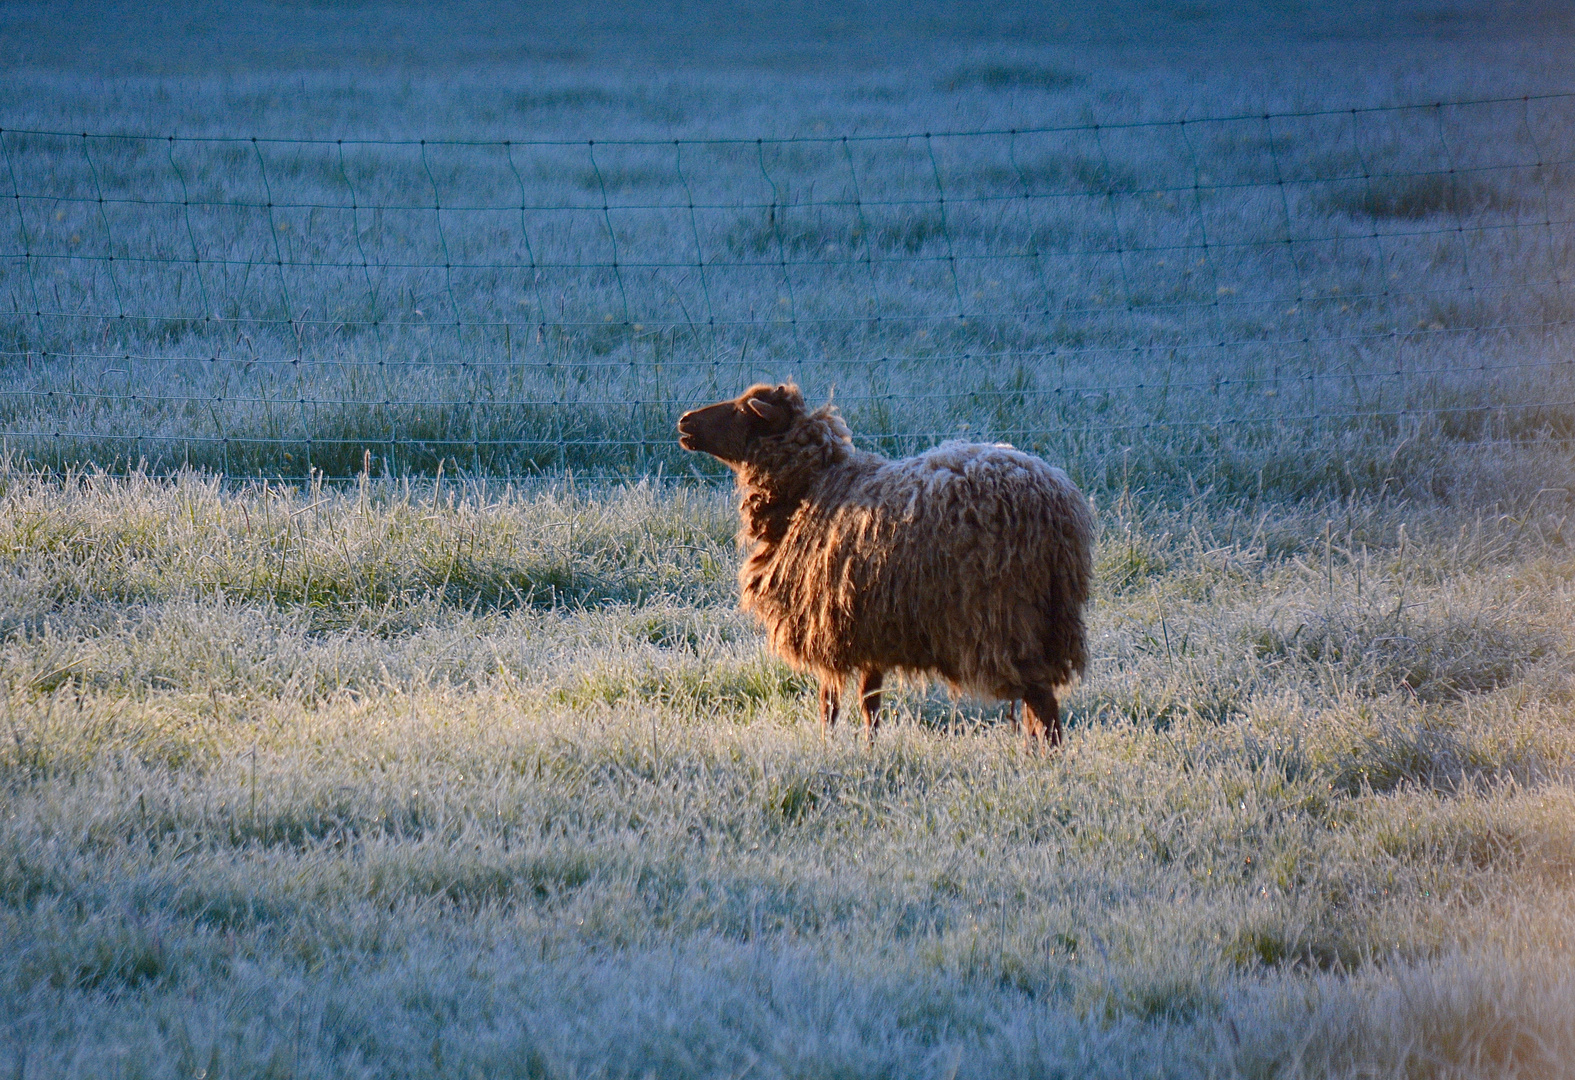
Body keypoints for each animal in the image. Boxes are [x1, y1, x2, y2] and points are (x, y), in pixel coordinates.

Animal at [677, 382, 1096, 752]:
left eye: (741, 408)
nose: (684, 421)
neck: (811, 489)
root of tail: (1058, 503)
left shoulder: (825, 622)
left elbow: (829, 702)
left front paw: (828, 746)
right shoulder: (867, 627)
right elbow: (870, 701)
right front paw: (870, 749)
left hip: (1009, 618)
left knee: (1043, 703)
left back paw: (1050, 761)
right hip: (1045, 624)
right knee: (1037, 705)